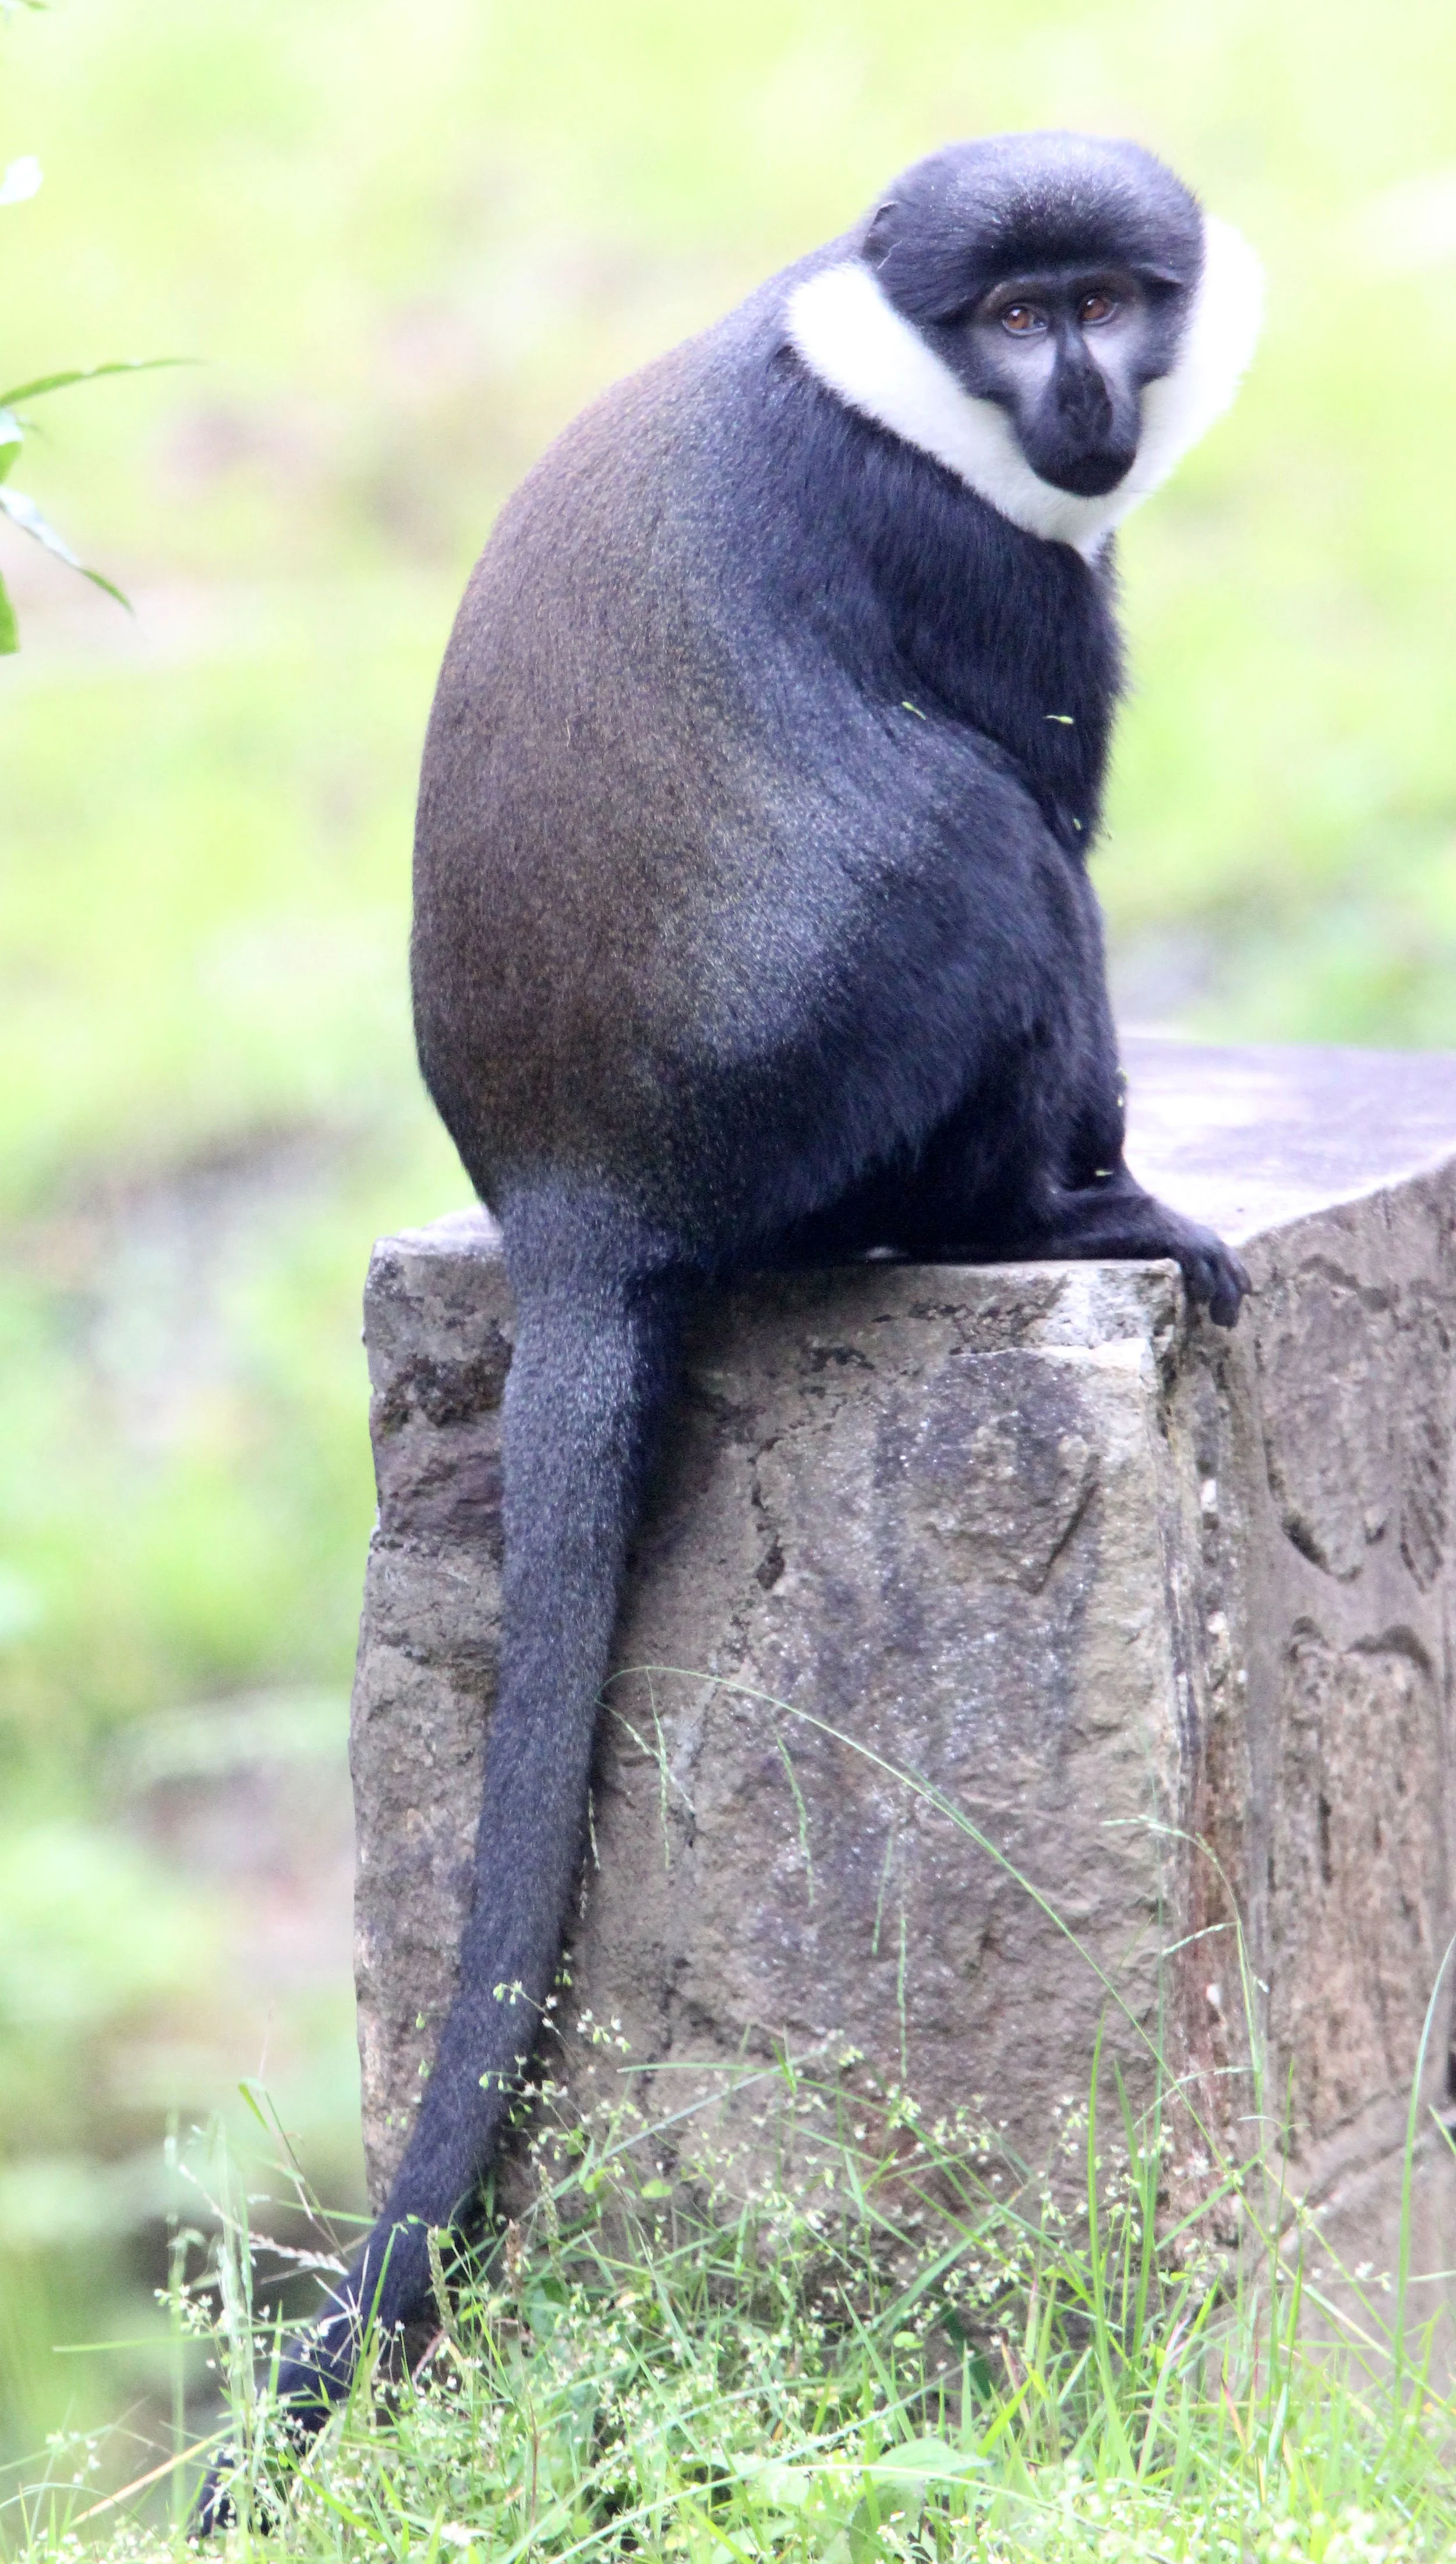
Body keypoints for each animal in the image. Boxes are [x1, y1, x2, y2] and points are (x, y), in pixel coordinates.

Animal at [198, 129, 1260, 2522]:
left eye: (1107, 295)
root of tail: (573, 1191)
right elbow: (1052, 819)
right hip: (832, 1051)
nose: (1078, 392)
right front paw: (1122, 1186)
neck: (881, 374)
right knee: (984, 843)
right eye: (1013, 310)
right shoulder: (967, 557)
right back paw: (1031, 1207)